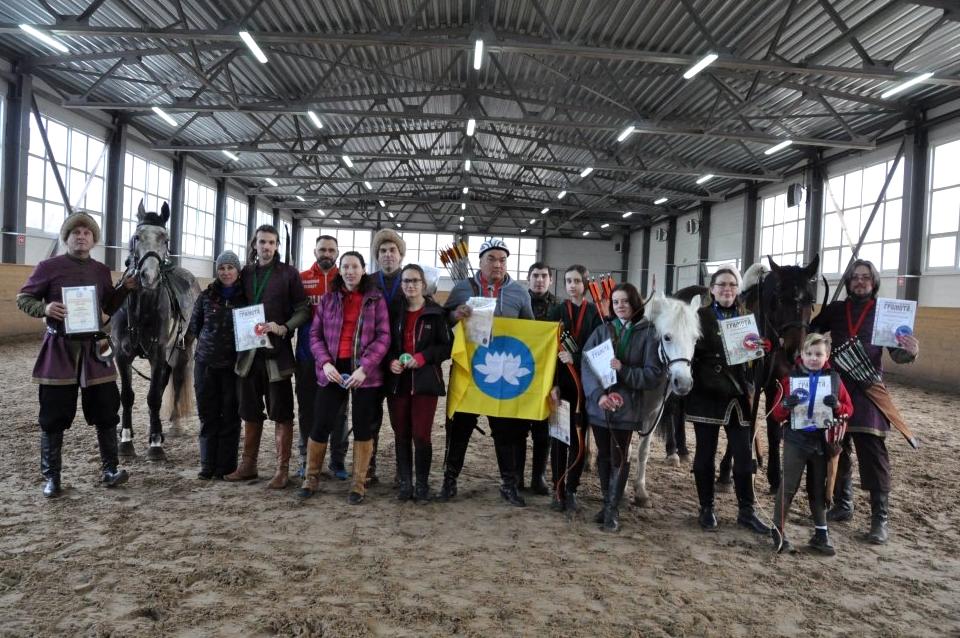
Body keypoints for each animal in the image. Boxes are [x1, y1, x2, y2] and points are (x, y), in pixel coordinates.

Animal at [112, 200, 201, 460]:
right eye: (136, 236)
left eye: (165, 238)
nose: (148, 276)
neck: (142, 307)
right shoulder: (121, 355)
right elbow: (127, 396)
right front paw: (126, 440)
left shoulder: (158, 352)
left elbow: (153, 397)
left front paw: (154, 445)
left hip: (182, 347)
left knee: (175, 379)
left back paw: (171, 427)